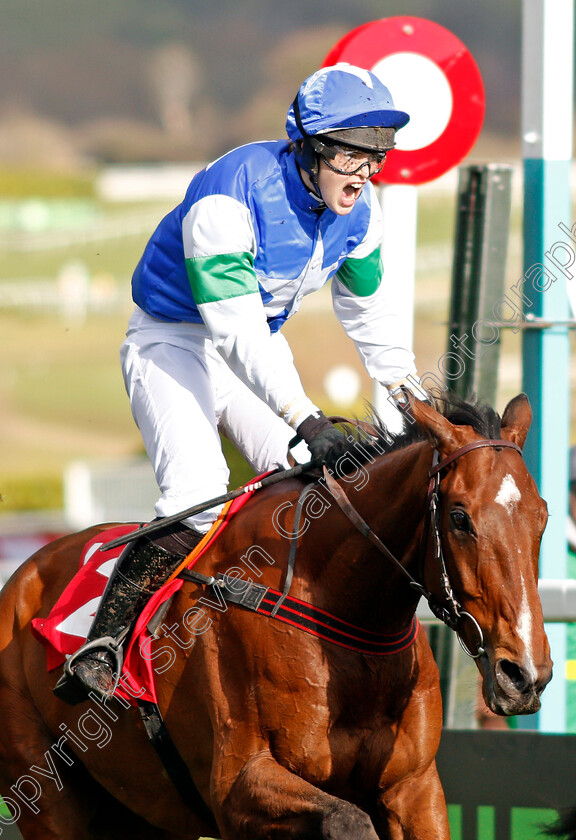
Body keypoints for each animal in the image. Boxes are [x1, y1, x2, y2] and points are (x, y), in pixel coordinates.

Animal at [0, 396, 552, 840]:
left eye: (542, 516)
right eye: (459, 517)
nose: (524, 675)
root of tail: (22, 575)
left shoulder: (414, 788)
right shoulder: (239, 787)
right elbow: (347, 820)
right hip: (47, 795)